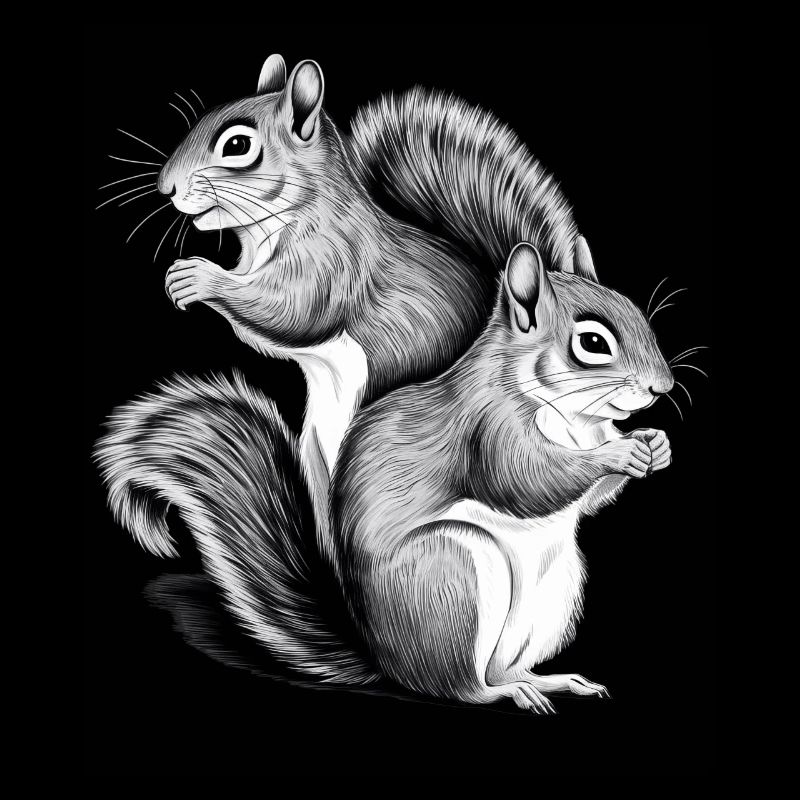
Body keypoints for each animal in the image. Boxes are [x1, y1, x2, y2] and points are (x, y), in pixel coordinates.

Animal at [96, 242, 674, 712]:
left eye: (638, 314)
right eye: (593, 342)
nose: (662, 388)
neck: (575, 418)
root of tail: (384, 658)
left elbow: (588, 502)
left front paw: (656, 446)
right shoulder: (486, 427)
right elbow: (525, 481)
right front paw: (621, 452)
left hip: (554, 594)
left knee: (499, 666)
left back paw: (548, 680)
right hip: (447, 575)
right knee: (462, 686)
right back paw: (508, 693)